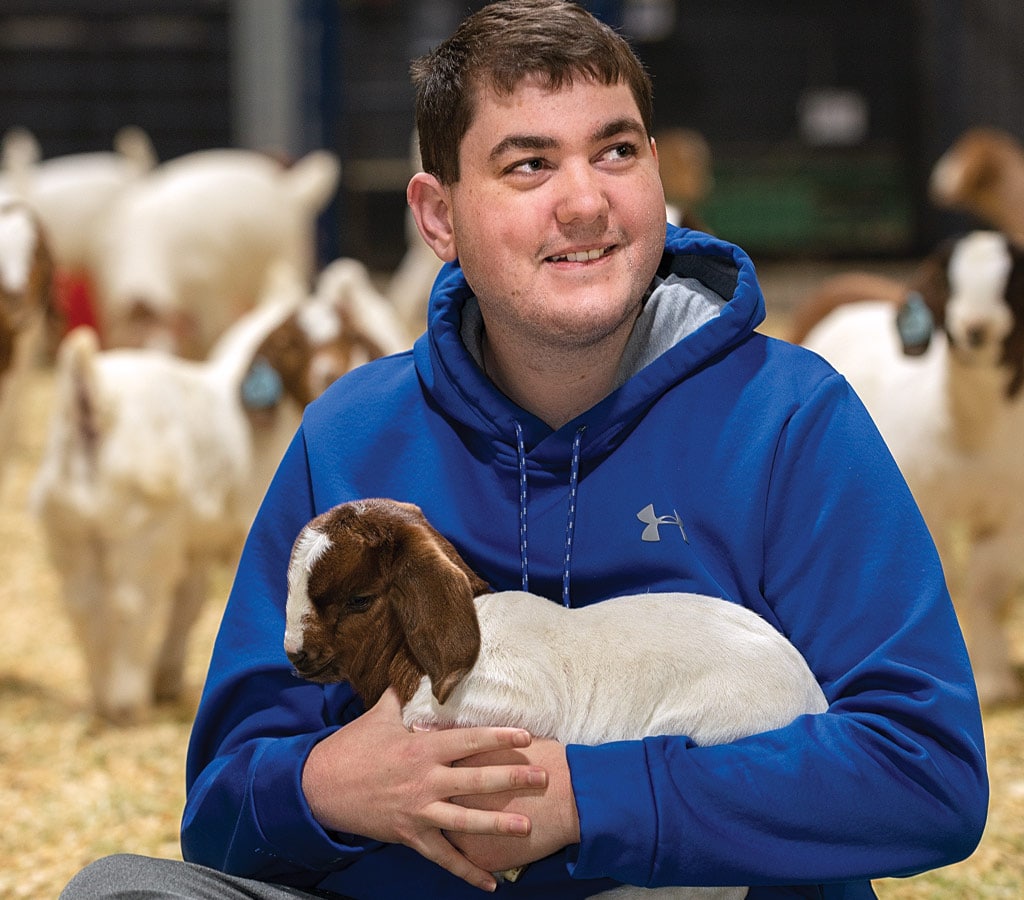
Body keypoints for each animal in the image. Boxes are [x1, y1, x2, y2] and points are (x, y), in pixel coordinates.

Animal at [32, 260, 407, 724]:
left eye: (346, 337)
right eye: (289, 345)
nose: (329, 372)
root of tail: (91, 400)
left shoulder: (200, 540)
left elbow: (188, 605)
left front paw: (169, 679)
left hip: (71, 532)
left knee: (83, 602)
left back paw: (104, 699)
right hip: (143, 537)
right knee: (130, 604)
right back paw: (126, 703)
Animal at [798, 230, 1024, 704]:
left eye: (1011, 281)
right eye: (948, 281)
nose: (976, 329)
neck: (972, 433)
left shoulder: (1012, 517)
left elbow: (986, 588)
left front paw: (993, 679)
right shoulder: (924, 505)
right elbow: (949, 585)